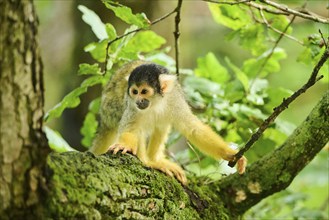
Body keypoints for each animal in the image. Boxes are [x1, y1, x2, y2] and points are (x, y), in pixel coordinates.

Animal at [89, 60, 246, 184]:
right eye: (135, 92)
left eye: (144, 91)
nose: (139, 101)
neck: (156, 103)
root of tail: (104, 118)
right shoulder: (131, 105)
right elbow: (130, 129)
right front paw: (125, 146)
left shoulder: (175, 98)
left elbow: (192, 129)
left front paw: (230, 154)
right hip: (112, 110)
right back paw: (148, 161)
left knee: (161, 125)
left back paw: (154, 160)